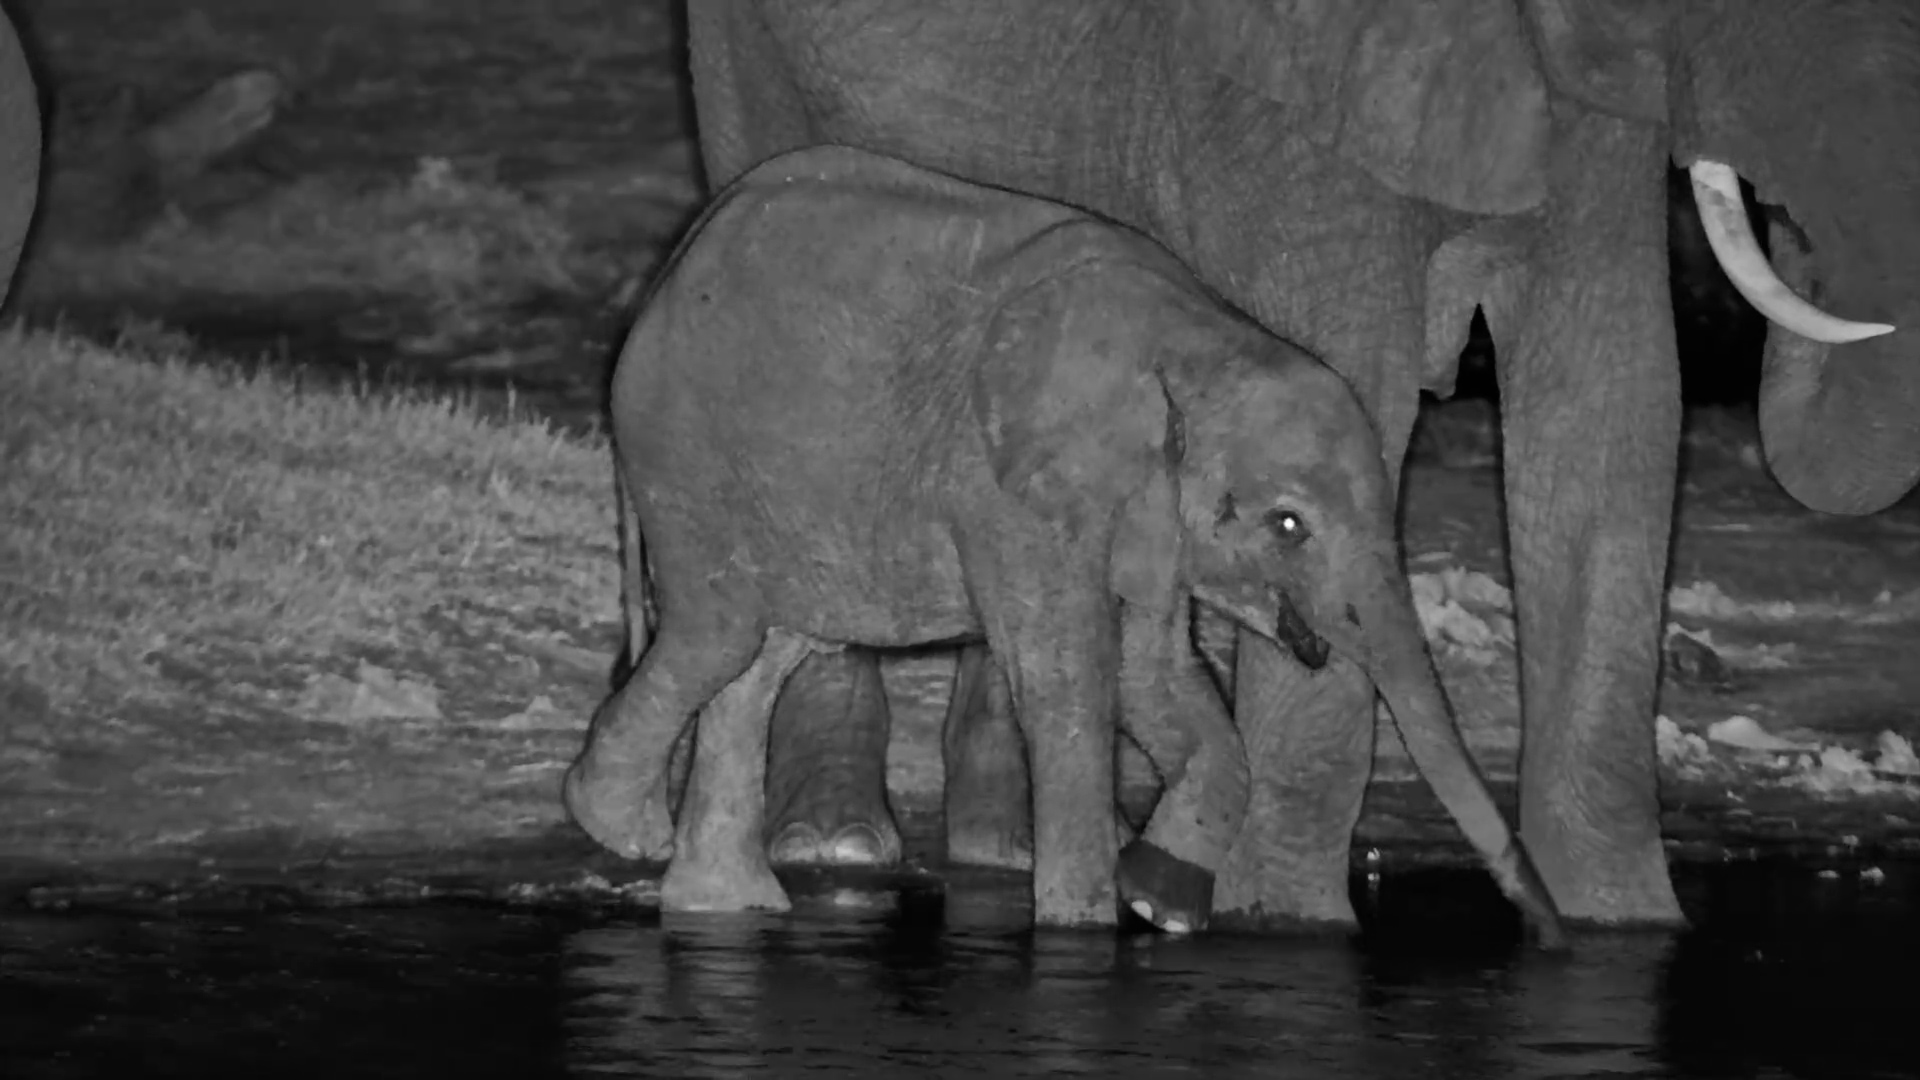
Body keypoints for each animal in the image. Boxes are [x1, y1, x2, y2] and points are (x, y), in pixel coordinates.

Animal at [562, 144, 1566, 941]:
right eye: (1288, 525)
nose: (1550, 931)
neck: (1200, 342)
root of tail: (675, 262)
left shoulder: (1145, 514)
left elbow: (1160, 680)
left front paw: (1158, 900)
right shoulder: (1009, 493)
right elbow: (1071, 684)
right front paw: (1082, 936)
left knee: (767, 655)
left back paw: (721, 905)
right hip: (683, 448)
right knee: (723, 633)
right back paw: (622, 829)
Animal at [683, 0, 1920, 928]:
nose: (1794, 236)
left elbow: (1613, 407)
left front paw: (1625, 927)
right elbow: (1346, 371)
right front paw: (1283, 926)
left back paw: (1008, 843)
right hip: (748, 55)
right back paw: (837, 845)